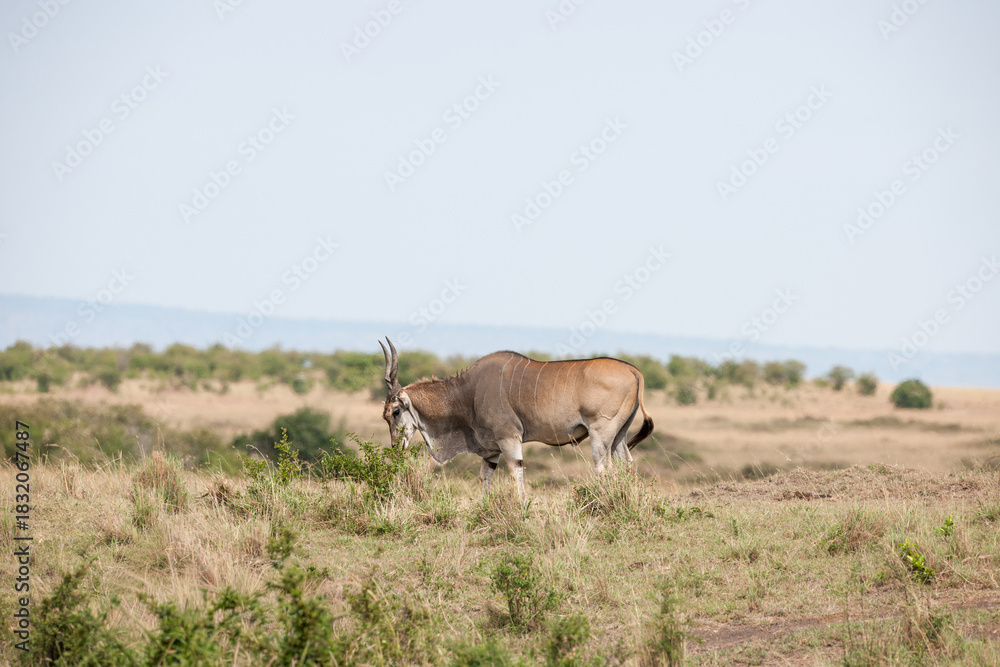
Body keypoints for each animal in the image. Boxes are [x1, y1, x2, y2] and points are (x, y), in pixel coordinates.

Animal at [379, 338, 653, 501]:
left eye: (395, 412)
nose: (395, 447)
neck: (466, 393)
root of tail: (634, 371)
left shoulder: (508, 439)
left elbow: (515, 472)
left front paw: (523, 507)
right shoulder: (491, 450)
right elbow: (485, 478)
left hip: (600, 434)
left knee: (603, 467)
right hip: (619, 436)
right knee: (626, 464)